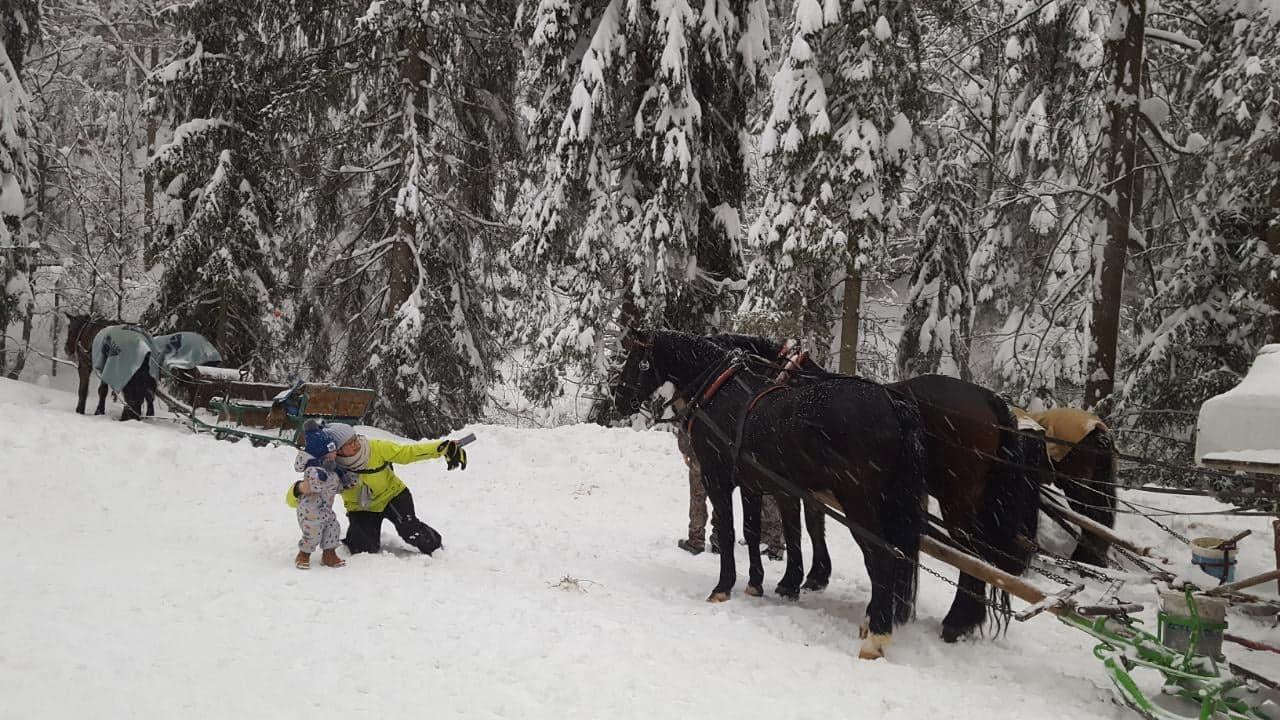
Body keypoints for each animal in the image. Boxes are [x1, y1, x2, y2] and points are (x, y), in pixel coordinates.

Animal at [706, 333, 1044, 640]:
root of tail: (992, 401)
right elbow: (814, 523)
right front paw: (815, 575)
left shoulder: (792, 483)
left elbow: (800, 526)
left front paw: (796, 579)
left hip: (955, 499)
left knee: (972, 555)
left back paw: (955, 621)